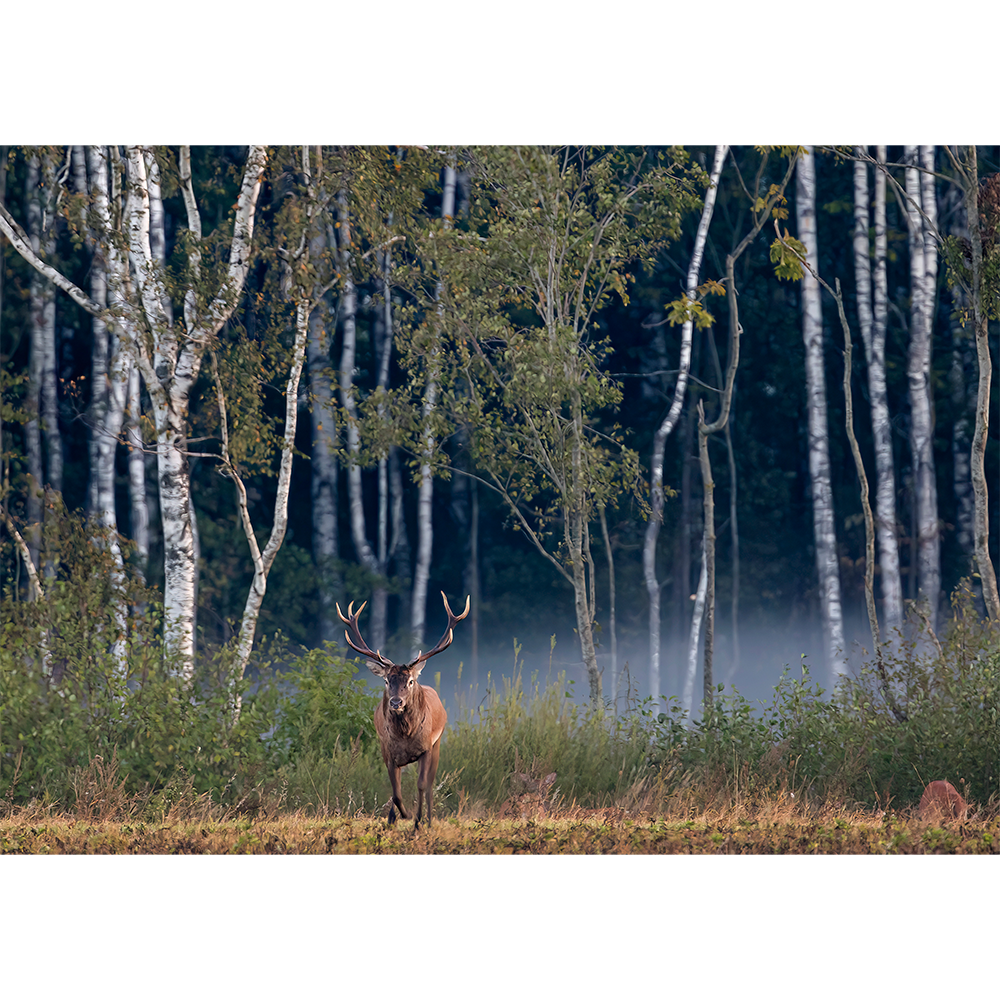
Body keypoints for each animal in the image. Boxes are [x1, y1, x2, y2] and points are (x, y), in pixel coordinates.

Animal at [337, 590, 470, 831]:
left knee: (429, 784)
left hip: (437, 744)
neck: (405, 735)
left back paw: (427, 820)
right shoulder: (388, 753)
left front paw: (417, 821)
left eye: (409, 681)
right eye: (386, 680)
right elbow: (395, 792)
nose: (396, 702)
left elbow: (421, 784)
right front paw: (400, 816)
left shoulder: (426, 748)